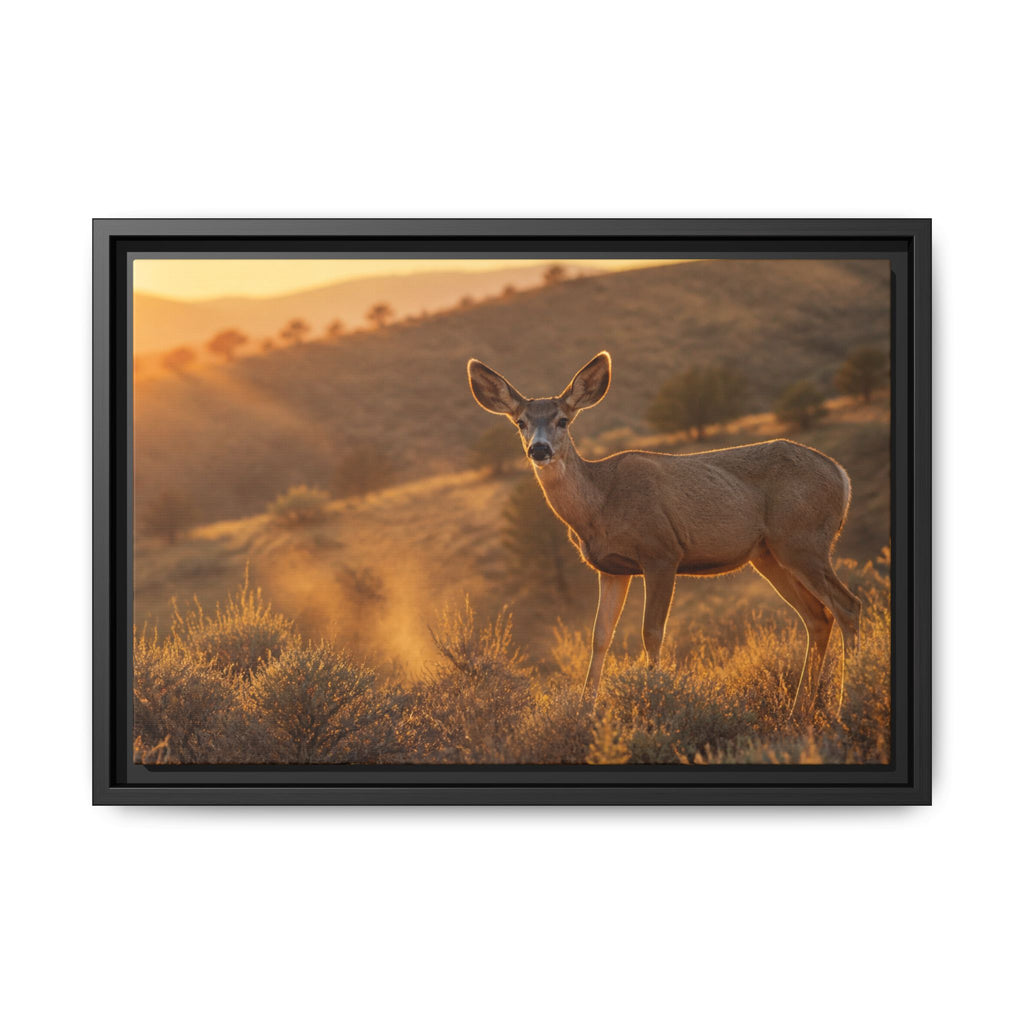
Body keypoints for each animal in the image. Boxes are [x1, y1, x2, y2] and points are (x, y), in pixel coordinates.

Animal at [467, 350, 861, 720]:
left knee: (847, 606)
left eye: (563, 420)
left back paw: (846, 707)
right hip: (769, 554)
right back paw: (799, 711)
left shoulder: (661, 552)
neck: (601, 504)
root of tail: (841, 475)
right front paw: (585, 710)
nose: (539, 449)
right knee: (817, 617)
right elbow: (600, 636)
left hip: (803, 540)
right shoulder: (611, 569)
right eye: (520, 422)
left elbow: (651, 632)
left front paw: (655, 700)